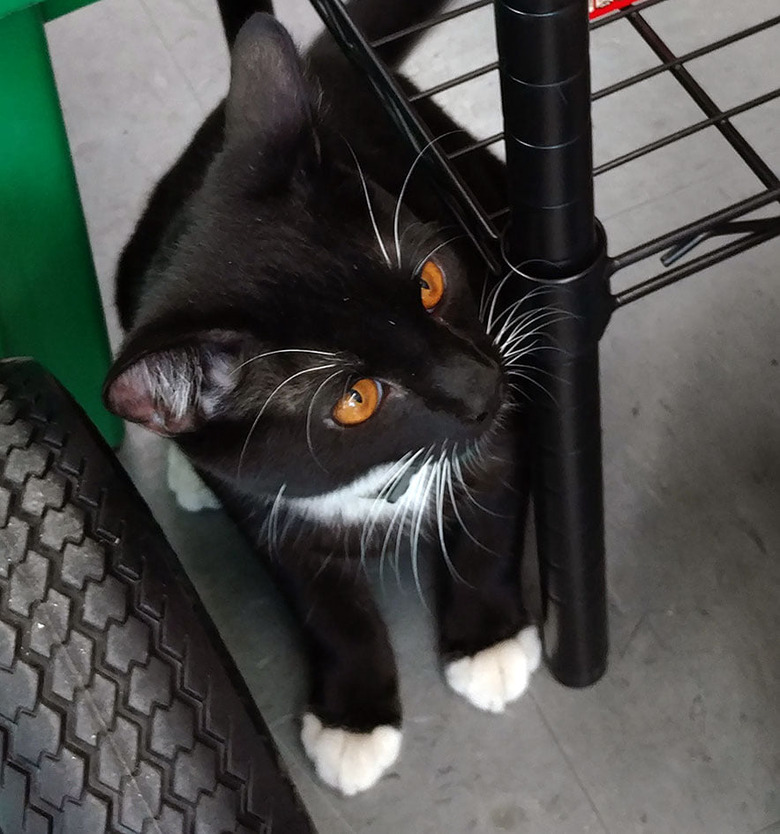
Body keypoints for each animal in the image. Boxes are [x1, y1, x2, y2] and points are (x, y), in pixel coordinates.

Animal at [105, 0, 544, 792]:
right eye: (355, 399)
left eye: (430, 283)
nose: (482, 387)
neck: (371, 480)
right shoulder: (264, 502)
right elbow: (326, 605)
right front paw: (354, 719)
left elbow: (488, 518)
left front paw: (487, 642)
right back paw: (187, 473)